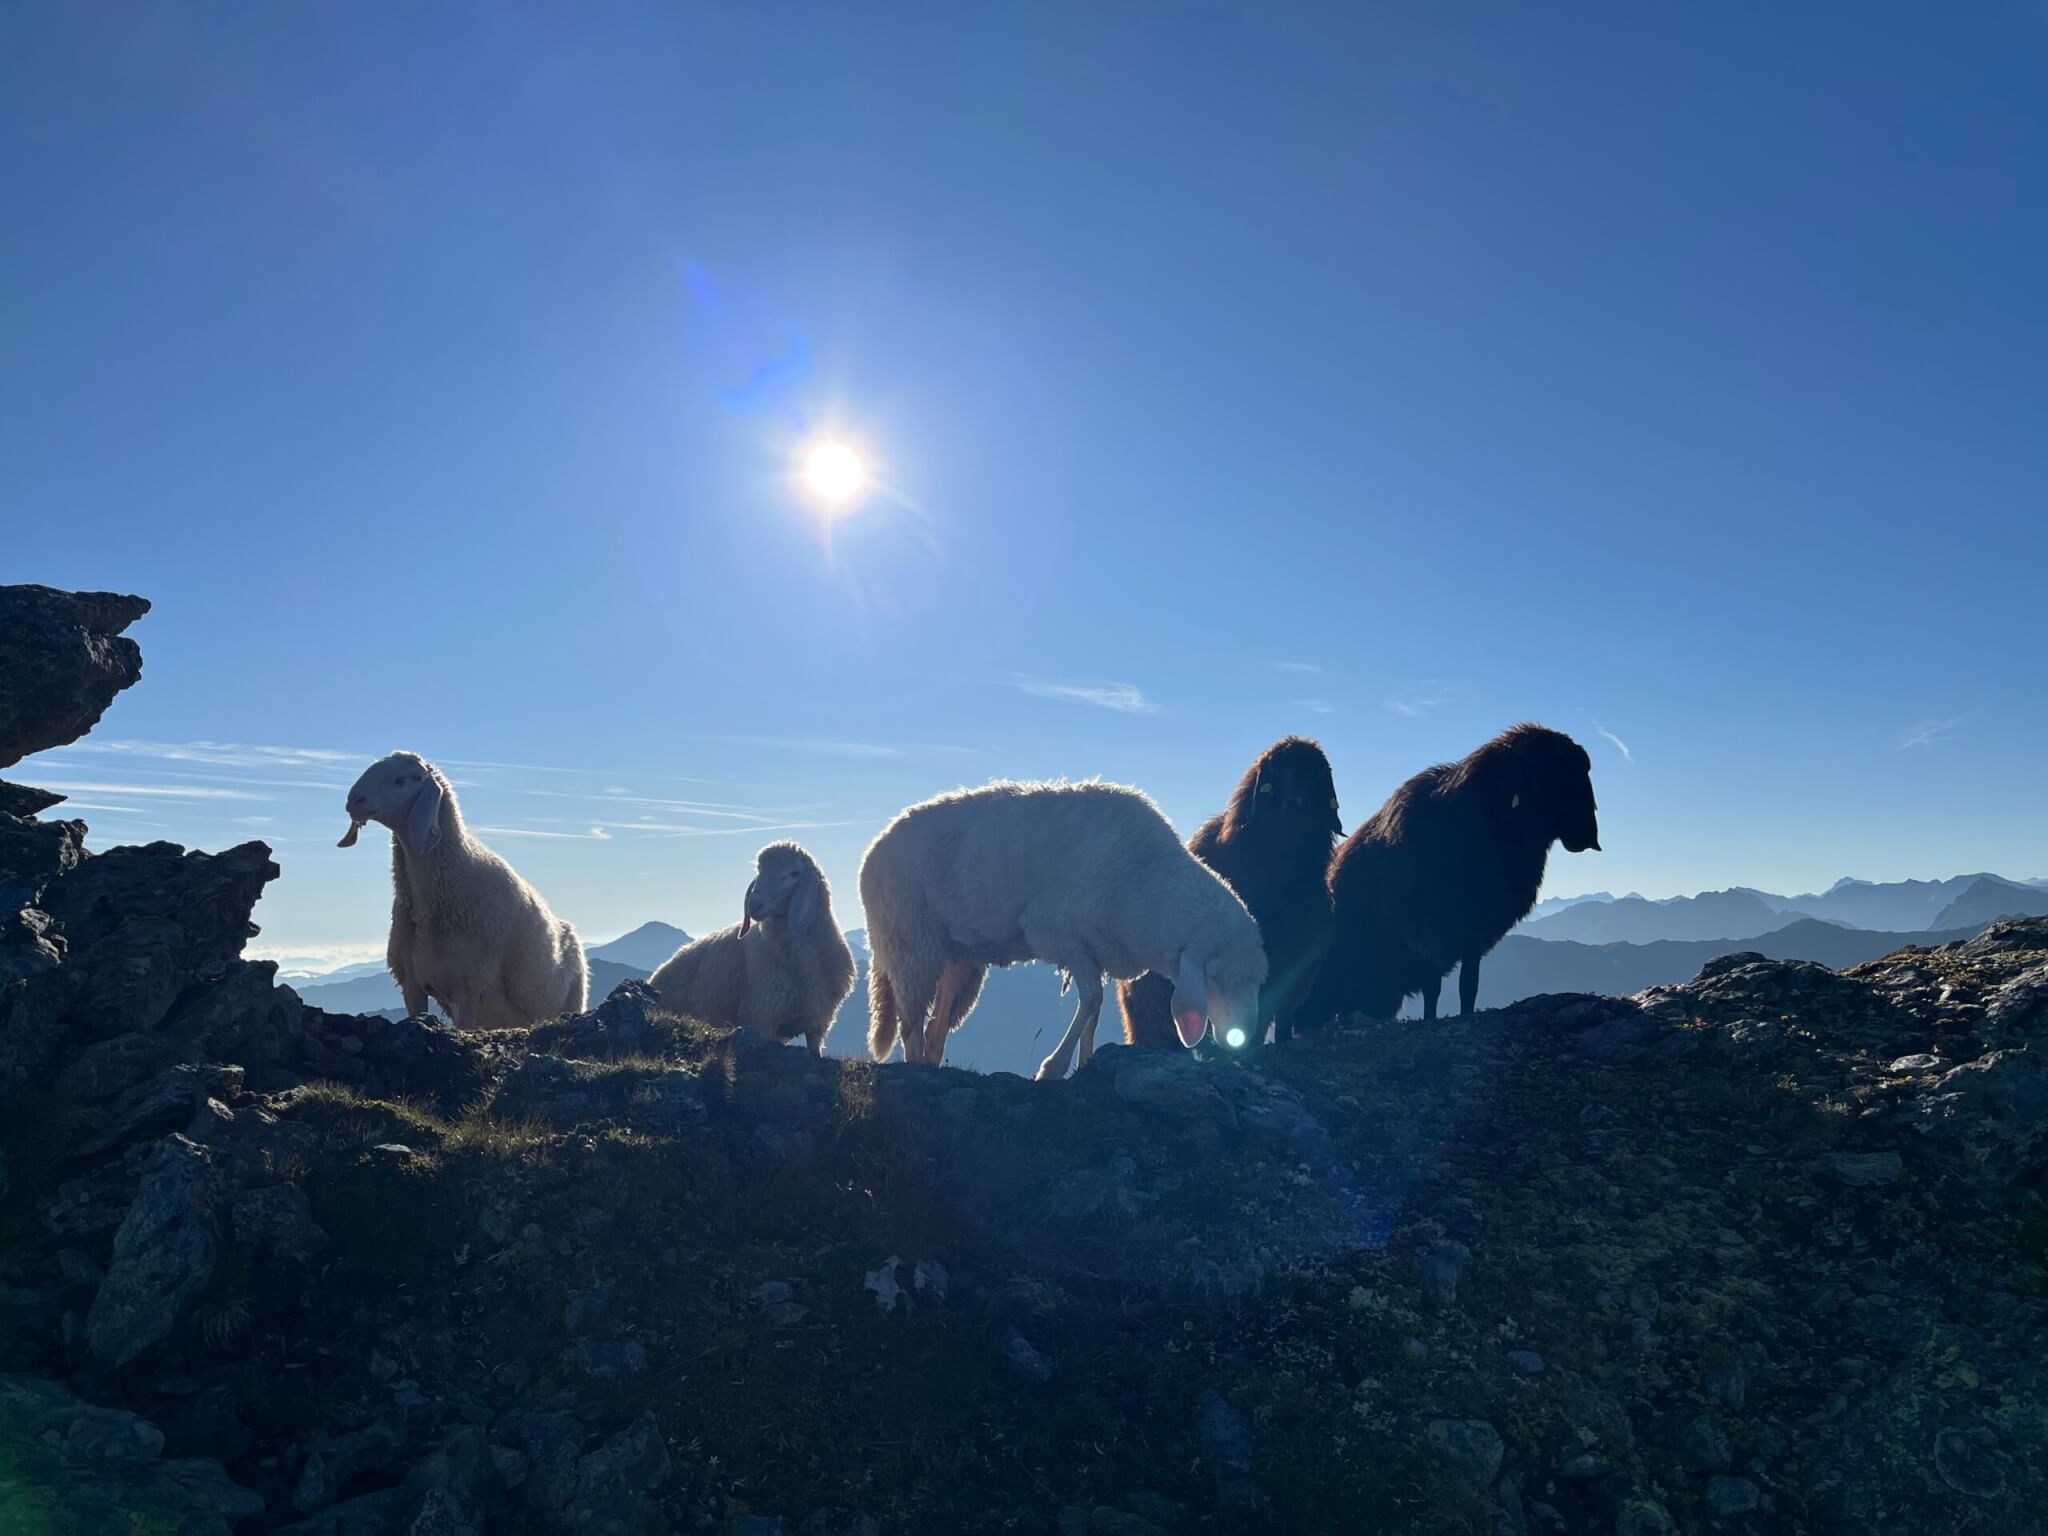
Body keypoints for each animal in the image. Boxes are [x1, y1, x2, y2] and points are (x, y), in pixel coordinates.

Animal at [646, 841, 856, 1055]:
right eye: (759, 871)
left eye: (794, 873)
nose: (754, 904)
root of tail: (658, 971)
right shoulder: (761, 1018)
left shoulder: (817, 1023)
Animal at [858, 780, 1269, 1081]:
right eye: (1213, 978)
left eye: (1258, 981)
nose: (1243, 1043)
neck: (1145, 879)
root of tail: (875, 846)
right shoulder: (1059, 937)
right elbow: (1090, 1000)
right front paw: (1053, 1068)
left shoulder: (1097, 950)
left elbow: (1096, 1009)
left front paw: (1086, 1062)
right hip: (909, 941)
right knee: (911, 1022)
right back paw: (916, 1069)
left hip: (956, 956)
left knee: (936, 1025)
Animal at [1303, 723, 1600, 1025]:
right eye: (1555, 770)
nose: (1587, 835)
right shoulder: (1428, 937)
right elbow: (1433, 989)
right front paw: (1430, 1019)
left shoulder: (1476, 934)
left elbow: (1469, 987)